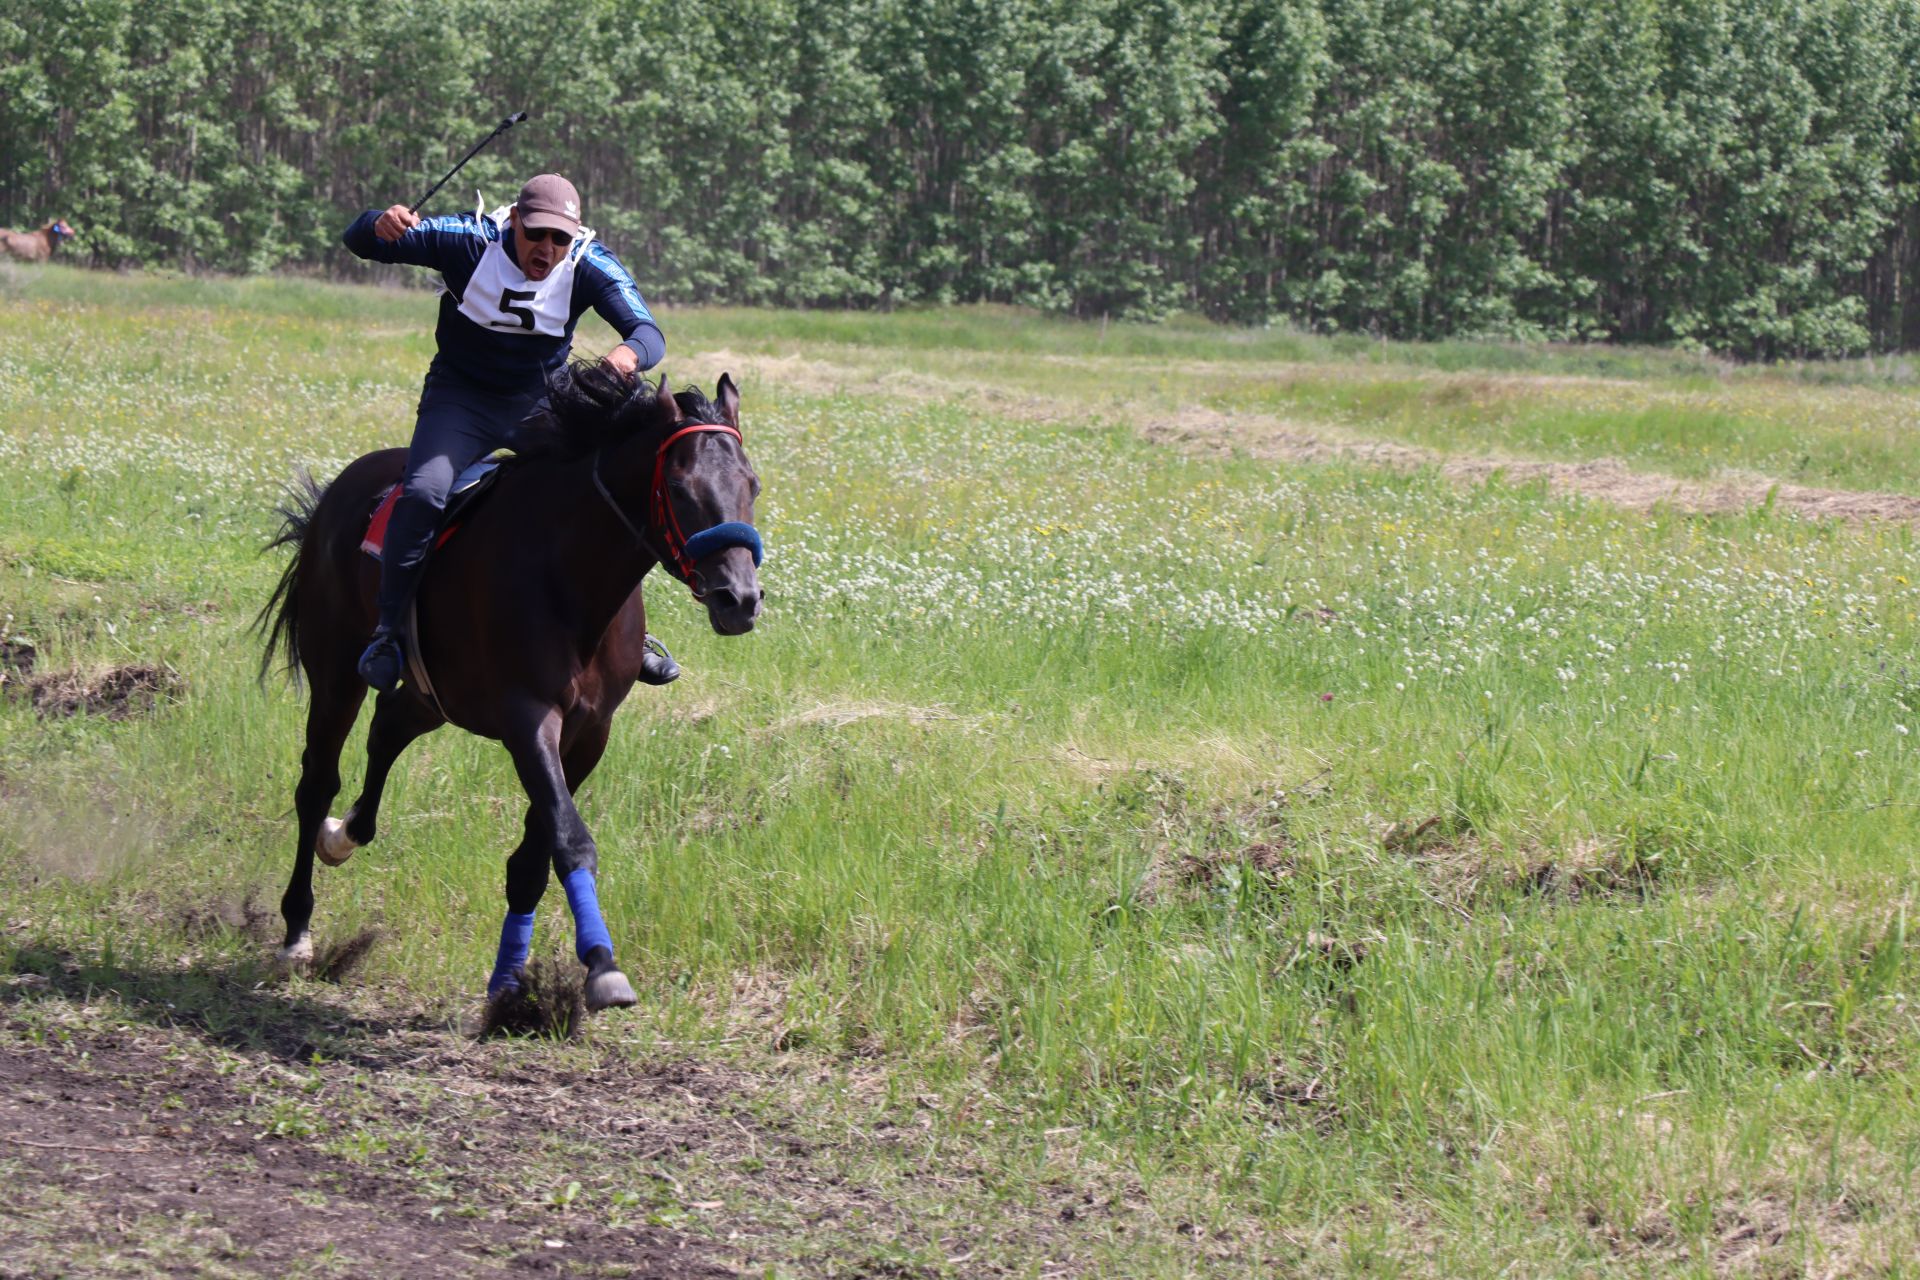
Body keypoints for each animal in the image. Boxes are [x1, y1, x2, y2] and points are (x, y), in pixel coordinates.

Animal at [257, 368, 764, 1013]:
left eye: (752, 483)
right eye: (678, 486)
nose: (739, 599)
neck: (570, 578)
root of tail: (338, 490)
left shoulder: (589, 731)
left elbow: (532, 861)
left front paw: (508, 985)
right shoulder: (529, 718)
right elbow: (570, 840)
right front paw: (602, 966)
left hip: (432, 696)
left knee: (388, 729)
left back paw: (344, 835)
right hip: (336, 670)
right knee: (318, 781)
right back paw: (297, 927)